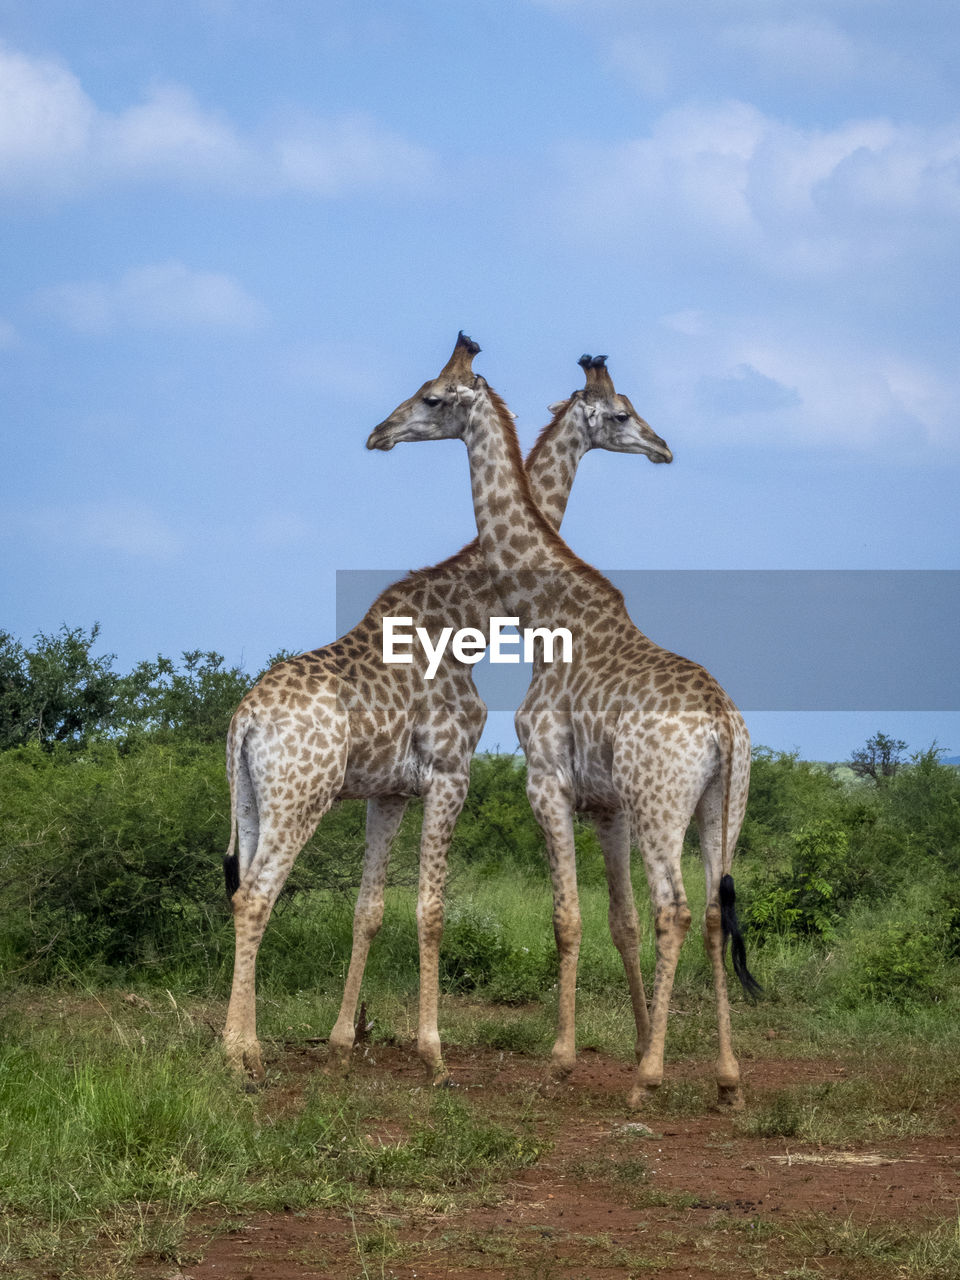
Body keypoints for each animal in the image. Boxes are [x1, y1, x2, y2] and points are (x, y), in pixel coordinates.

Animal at [218, 337, 670, 1080]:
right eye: (623, 414)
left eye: (430, 395)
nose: (663, 448)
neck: (469, 618)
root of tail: (243, 722)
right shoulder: (452, 771)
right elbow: (430, 909)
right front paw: (432, 1052)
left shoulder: (391, 790)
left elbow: (369, 908)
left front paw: (342, 1042)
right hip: (300, 795)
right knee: (259, 895)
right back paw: (241, 1054)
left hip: (254, 800)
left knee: (240, 893)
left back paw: (239, 1041)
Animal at [368, 330, 757, 1111]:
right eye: (623, 412)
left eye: (431, 398)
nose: (379, 433)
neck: (545, 612)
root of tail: (724, 730)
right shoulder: (603, 800)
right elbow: (614, 919)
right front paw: (621, 1044)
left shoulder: (547, 777)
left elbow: (568, 917)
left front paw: (563, 1059)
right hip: (719, 808)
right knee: (710, 912)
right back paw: (727, 1080)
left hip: (662, 802)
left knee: (676, 909)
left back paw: (648, 1080)